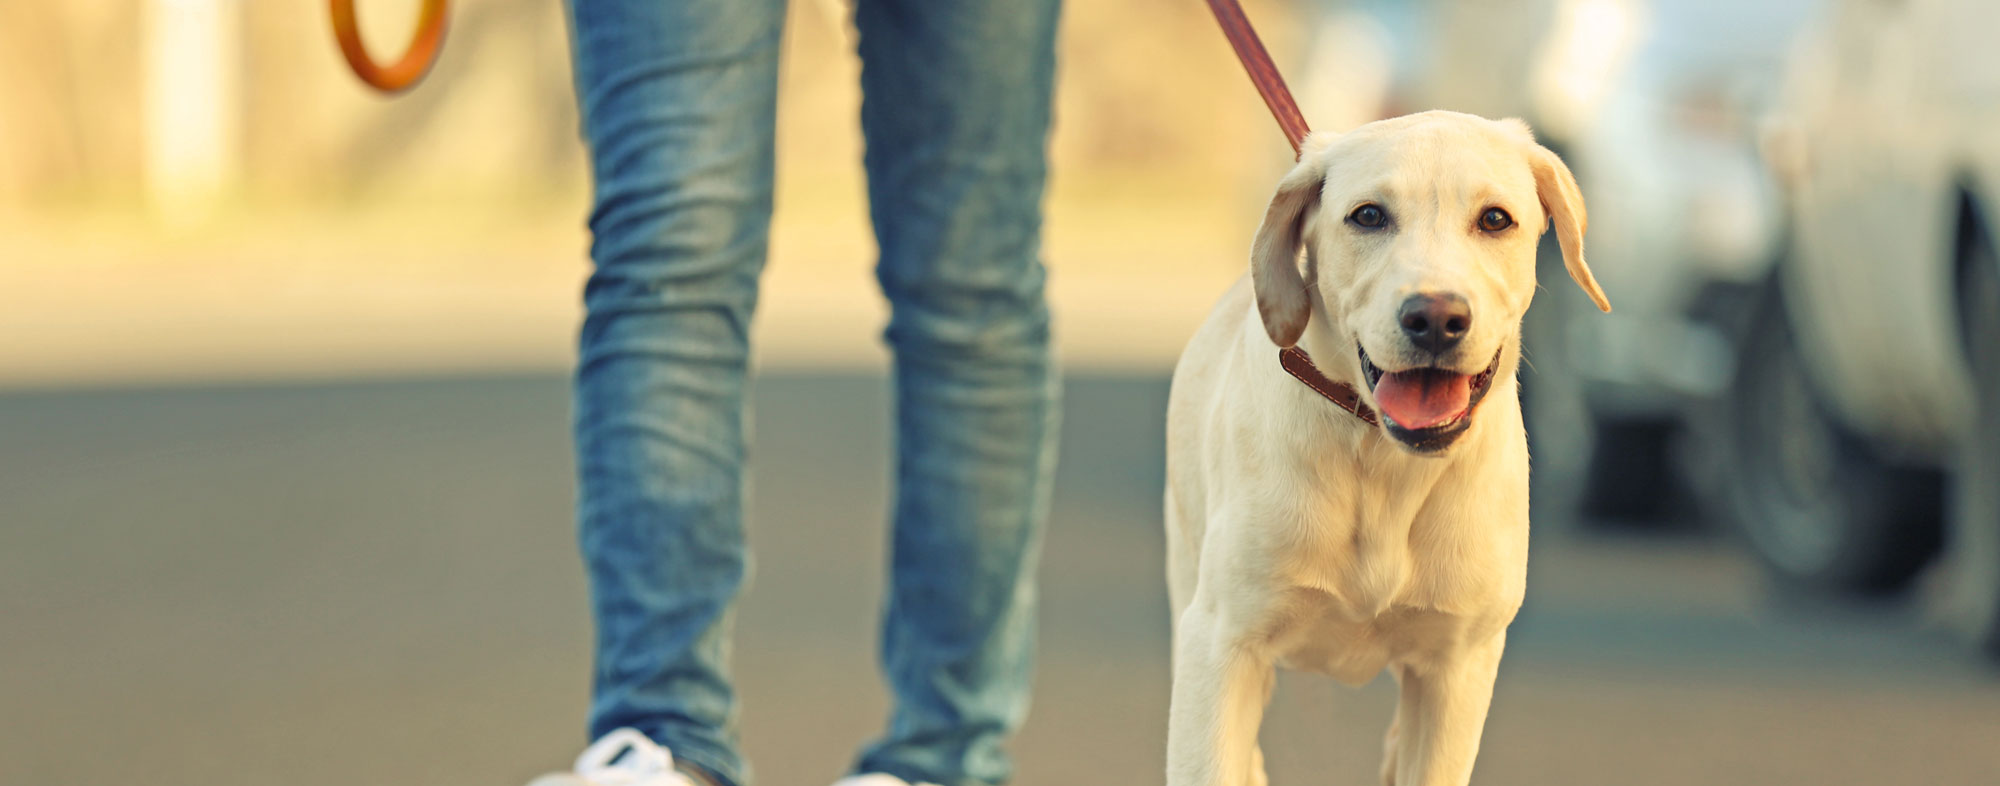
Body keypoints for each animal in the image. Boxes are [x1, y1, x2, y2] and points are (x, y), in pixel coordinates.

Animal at [1160, 112, 1608, 784]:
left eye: (1495, 219)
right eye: (1368, 216)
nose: (1435, 317)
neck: (1385, 465)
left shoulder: (1457, 668)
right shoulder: (1221, 643)